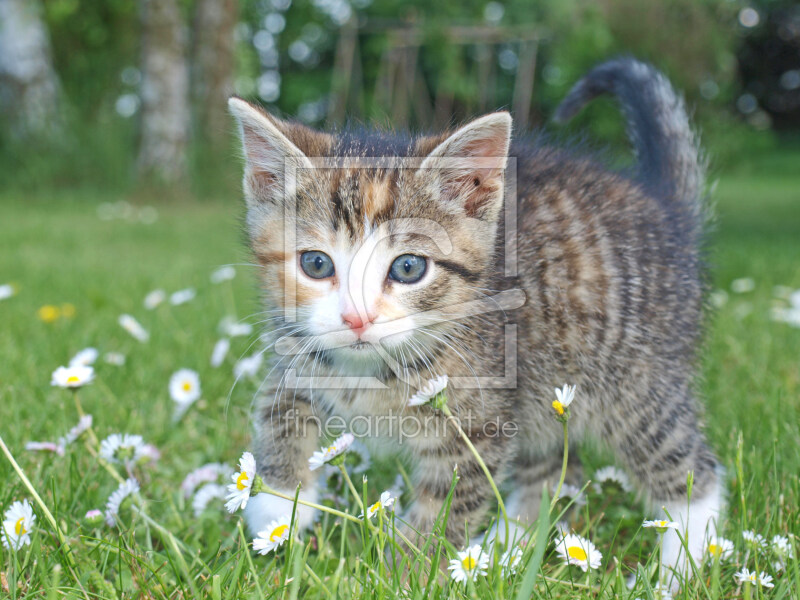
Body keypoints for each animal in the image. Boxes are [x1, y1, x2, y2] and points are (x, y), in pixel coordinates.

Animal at [228, 58, 720, 580]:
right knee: (553, 473)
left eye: (409, 267)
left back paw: (680, 565)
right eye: (316, 264)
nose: (357, 318)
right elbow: (277, 408)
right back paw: (511, 547)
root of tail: (668, 211)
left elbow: (446, 506)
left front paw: (405, 573)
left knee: (689, 466)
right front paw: (277, 508)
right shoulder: (300, 349)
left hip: (634, 381)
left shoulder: (480, 424)